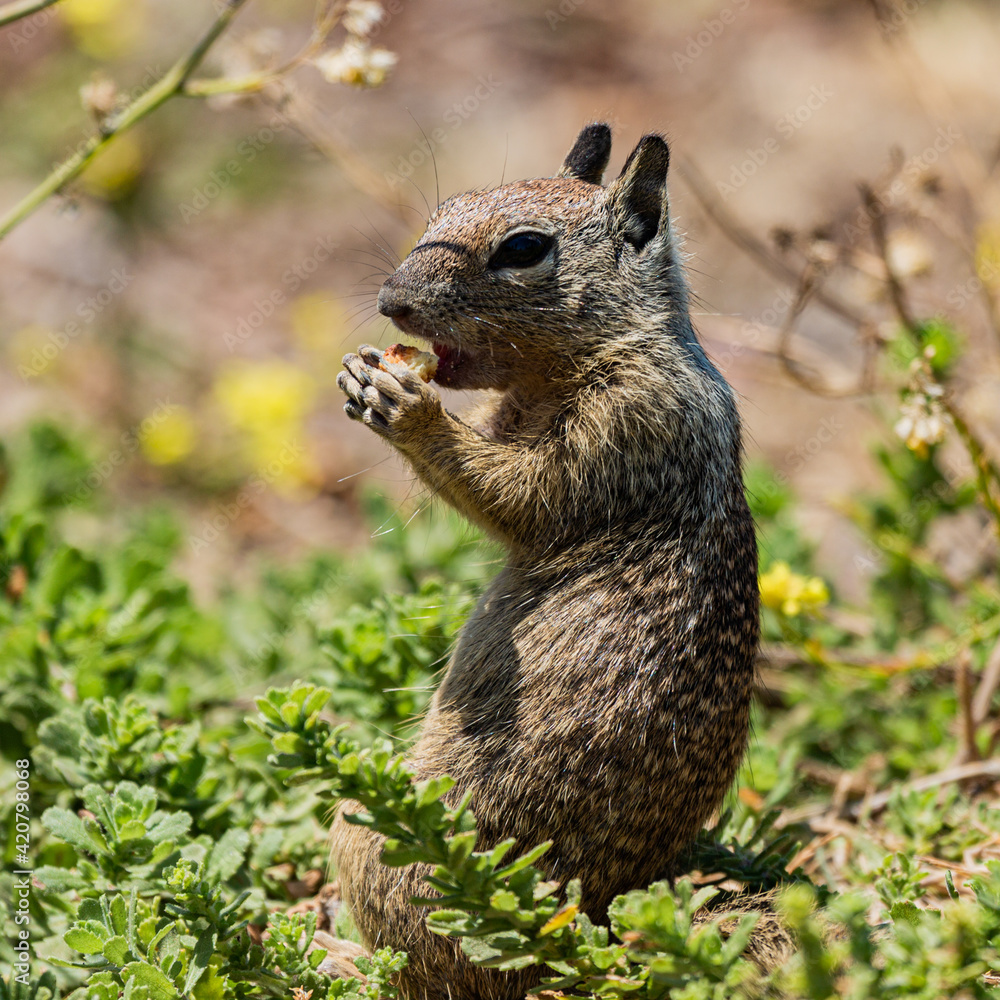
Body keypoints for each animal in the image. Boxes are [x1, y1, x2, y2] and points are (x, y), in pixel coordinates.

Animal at [333, 123, 760, 1000]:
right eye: (445, 209)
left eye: (525, 249)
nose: (392, 302)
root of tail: (578, 928)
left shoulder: (627, 424)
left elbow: (517, 499)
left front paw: (406, 405)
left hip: (373, 845)